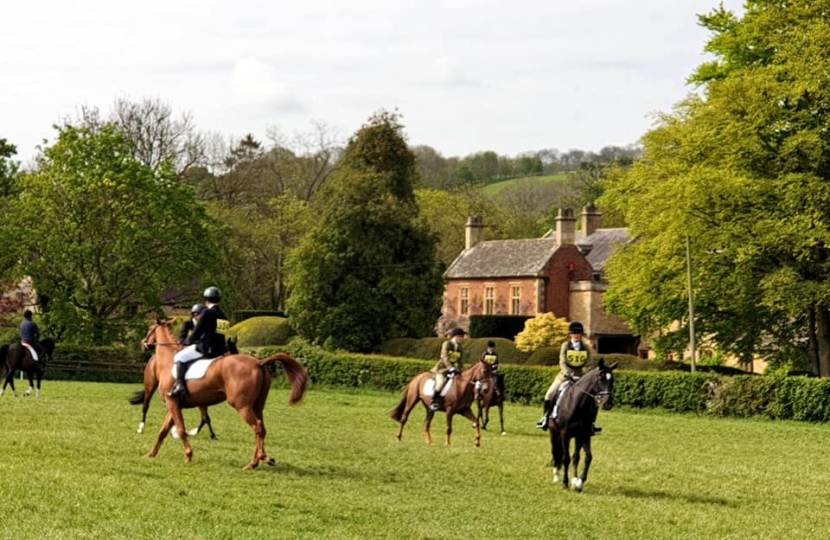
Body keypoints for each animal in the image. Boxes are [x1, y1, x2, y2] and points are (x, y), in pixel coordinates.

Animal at [140, 318, 308, 470]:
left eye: (149, 328)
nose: (144, 343)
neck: (168, 362)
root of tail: (258, 362)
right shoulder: (174, 404)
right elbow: (162, 431)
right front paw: (151, 454)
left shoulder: (172, 403)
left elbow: (181, 430)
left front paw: (188, 455)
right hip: (257, 406)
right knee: (261, 428)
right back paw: (260, 459)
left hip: (241, 406)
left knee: (257, 429)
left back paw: (255, 461)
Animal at [544, 356, 616, 492]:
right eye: (600, 378)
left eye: (612, 380)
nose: (607, 404)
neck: (578, 404)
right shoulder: (565, 434)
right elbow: (565, 458)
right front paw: (565, 483)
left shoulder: (584, 434)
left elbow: (587, 457)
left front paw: (579, 482)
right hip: (553, 433)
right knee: (555, 452)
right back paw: (556, 476)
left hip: (577, 437)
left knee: (576, 457)